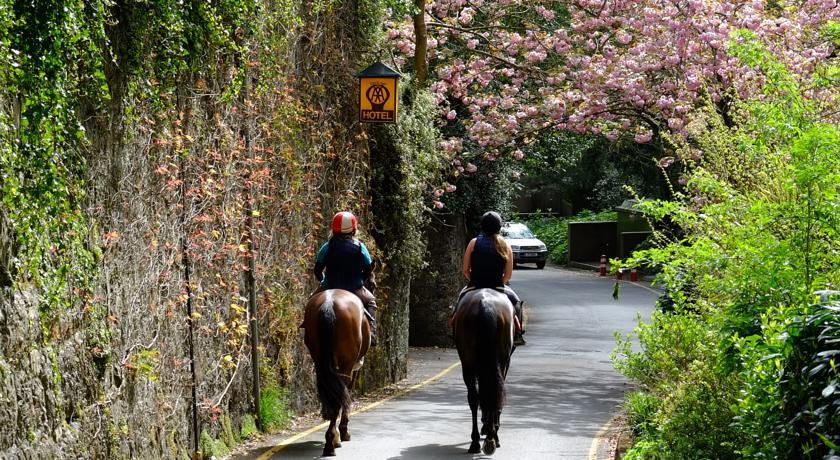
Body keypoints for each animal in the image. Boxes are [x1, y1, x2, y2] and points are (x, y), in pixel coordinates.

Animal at [300, 290, 370, 454]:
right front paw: (343, 431)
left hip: (319, 360)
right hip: (346, 363)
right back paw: (332, 440)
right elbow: (348, 393)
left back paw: (330, 438)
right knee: (341, 394)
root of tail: (329, 303)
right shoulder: (354, 368)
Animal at [452, 290, 520, 454]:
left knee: (476, 397)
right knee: (491, 394)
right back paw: (491, 437)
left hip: (468, 364)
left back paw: (478, 441)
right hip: (498, 362)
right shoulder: (505, 363)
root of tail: (485, 305)